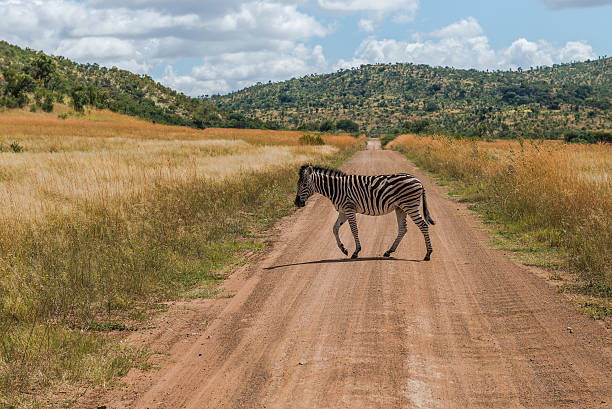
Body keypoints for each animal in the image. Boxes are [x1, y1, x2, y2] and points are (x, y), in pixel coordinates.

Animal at [292, 164, 432, 260]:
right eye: (297, 184)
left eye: (304, 185)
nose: (297, 202)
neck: (335, 189)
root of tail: (418, 180)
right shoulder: (343, 211)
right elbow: (335, 228)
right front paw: (343, 249)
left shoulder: (349, 209)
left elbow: (354, 230)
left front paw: (356, 251)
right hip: (401, 208)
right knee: (403, 229)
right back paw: (388, 251)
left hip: (410, 206)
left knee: (423, 225)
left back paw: (428, 254)